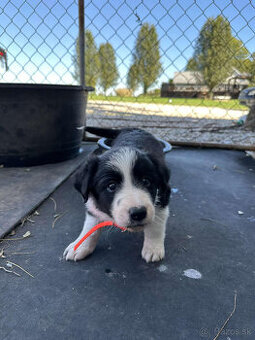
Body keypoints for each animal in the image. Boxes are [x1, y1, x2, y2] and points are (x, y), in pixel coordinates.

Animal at [63, 127, 171, 262]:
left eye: (146, 181)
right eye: (111, 186)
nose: (138, 213)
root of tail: (134, 129)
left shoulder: (163, 194)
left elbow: (156, 224)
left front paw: (153, 248)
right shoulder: (91, 202)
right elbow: (90, 226)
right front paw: (80, 245)